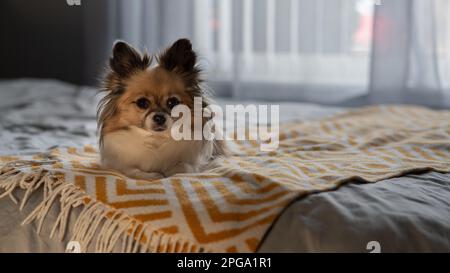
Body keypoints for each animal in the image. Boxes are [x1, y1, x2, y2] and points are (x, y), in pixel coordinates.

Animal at [97, 38, 225, 178]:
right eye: (142, 103)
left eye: (172, 102)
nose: (159, 117)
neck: (157, 140)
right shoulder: (118, 165)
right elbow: (133, 171)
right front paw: (153, 175)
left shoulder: (199, 164)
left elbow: (184, 167)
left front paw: (169, 172)